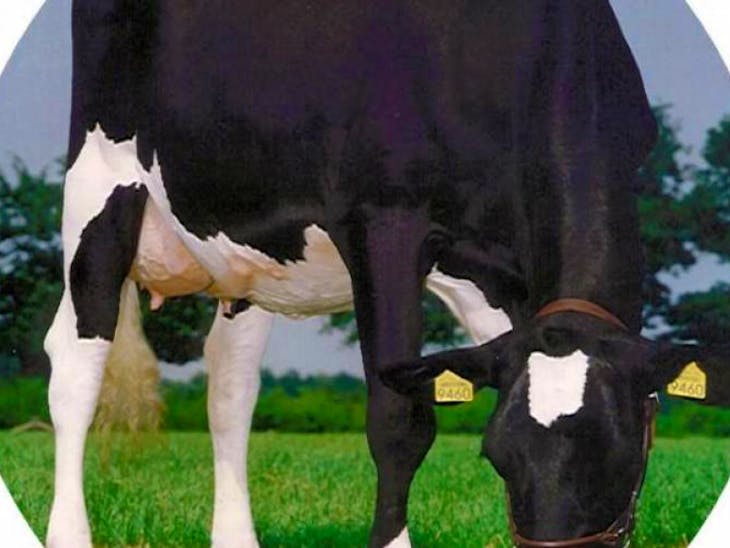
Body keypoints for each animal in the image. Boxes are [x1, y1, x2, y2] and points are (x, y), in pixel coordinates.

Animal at [42, 1, 720, 547]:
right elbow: (399, 421)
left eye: (619, 453)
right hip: (99, 185)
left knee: (230, 386)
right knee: (77, 362)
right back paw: (68, 533)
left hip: (247, 252)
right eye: (497, 454)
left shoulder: (499, 274)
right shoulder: (386, 217)